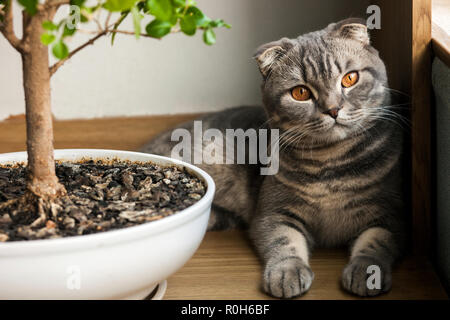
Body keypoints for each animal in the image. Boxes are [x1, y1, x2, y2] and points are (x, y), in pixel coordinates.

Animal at [139, 17, 406, 298]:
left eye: (350, 78)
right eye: (301, 93)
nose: (333, 109)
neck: (330, 162)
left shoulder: (391, 215)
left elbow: (375, 243)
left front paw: (367, 273)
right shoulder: (273, 212)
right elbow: (284, 241)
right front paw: (286, 273)